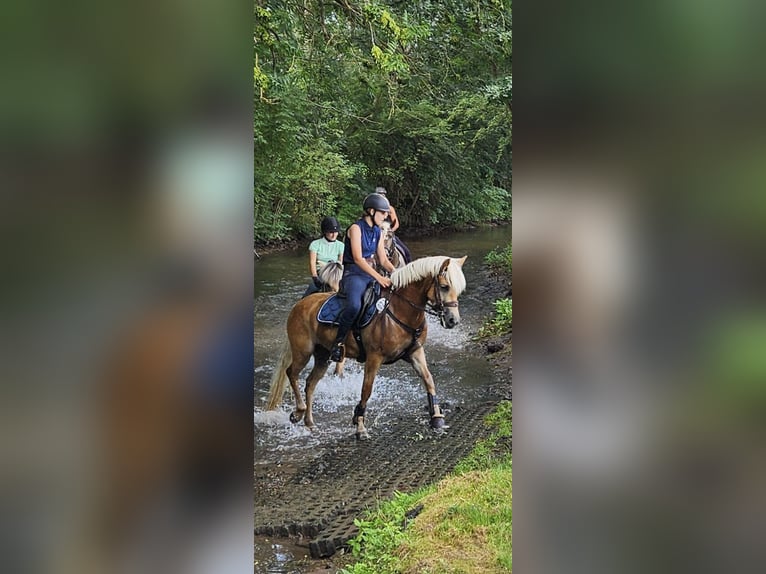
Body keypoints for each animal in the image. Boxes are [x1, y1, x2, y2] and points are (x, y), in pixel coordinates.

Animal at [264, 256, 468, 440]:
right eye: (444, 286)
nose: (453, 320)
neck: (400, 310)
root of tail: (299, 305)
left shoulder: (415, 352)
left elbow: (429, 380)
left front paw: (437, 417)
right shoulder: (374, 357)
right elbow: (366, 390)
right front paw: (360, 426)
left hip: (323, 356)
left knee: (310, 383)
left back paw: (309, 422)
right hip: (303, 352)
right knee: (291, 373)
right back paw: (297, 413)